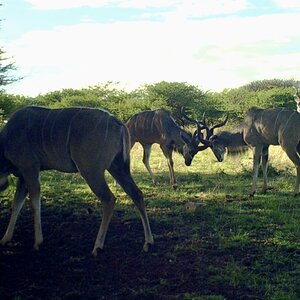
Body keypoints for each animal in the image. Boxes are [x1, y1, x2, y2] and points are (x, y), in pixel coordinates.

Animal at [0, 105, 154, 255]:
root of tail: (119, 124)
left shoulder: (29, 168)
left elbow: (34, 203)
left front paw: (38, 242)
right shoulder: (22, 175)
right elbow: (16, 204)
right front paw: (5, 239)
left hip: (91, 171)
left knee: (109, 198)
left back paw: (97, 246)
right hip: (117, 167)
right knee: (136, 193)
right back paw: (148, 242)